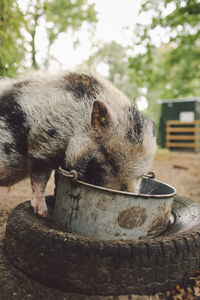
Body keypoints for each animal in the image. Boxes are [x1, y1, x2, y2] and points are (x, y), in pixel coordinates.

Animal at [0, 72, 156, 218]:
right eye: (109, 159)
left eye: (139, 176)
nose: (126, 195)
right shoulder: (44, 138)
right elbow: (40, 175)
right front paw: (42, 213)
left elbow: (57, 180)